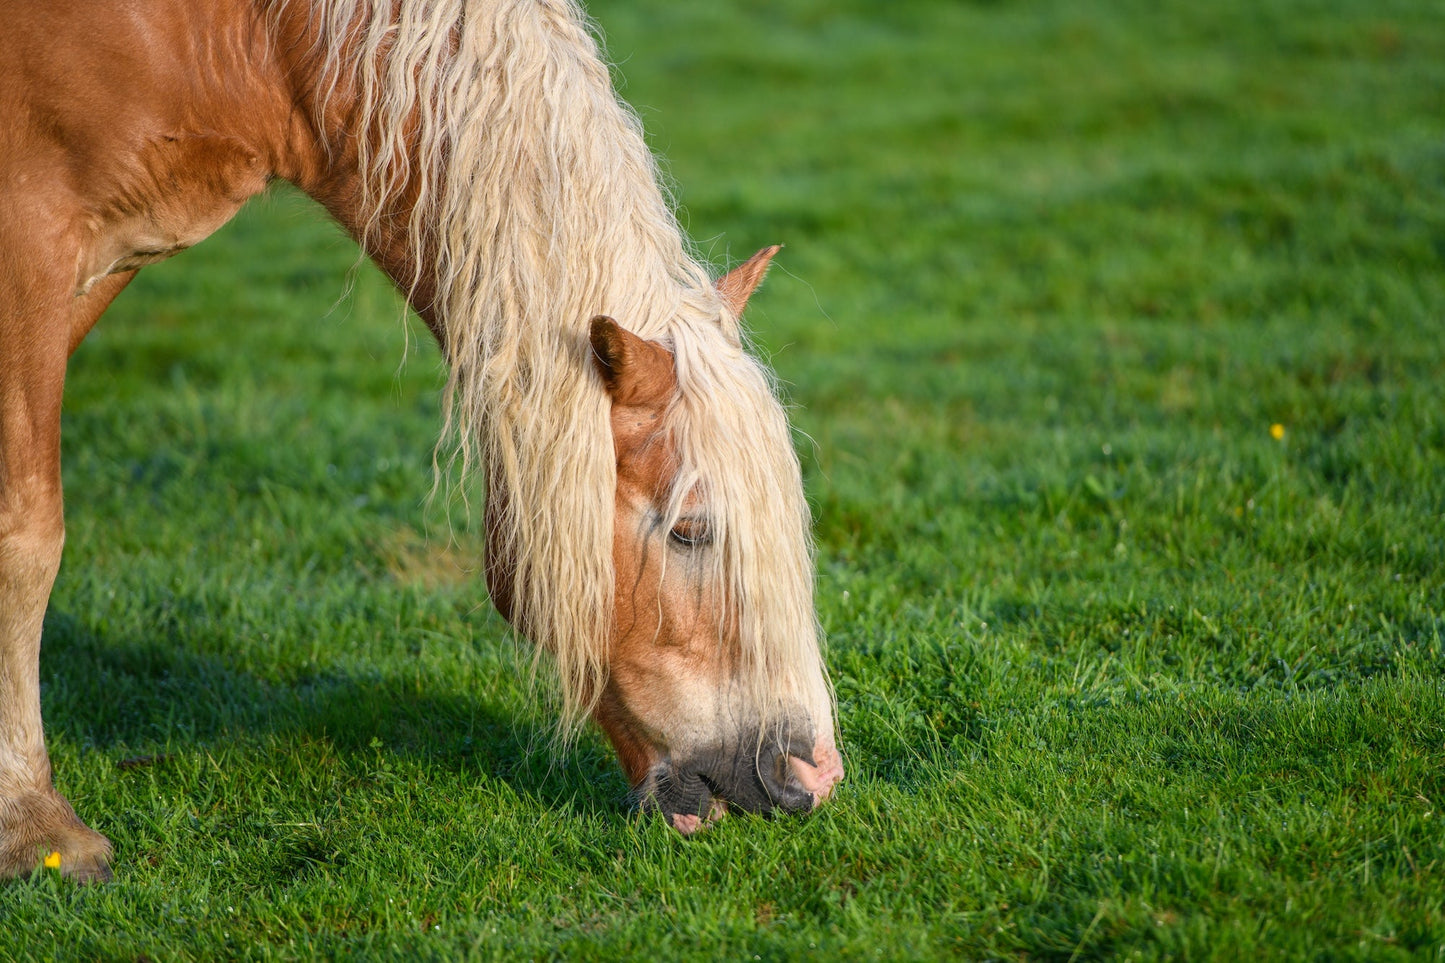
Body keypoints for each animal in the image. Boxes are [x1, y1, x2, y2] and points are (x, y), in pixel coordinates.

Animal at [0, 0, 843, 879]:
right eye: (689, 531)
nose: (814, 776)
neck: (249, 42)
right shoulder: (30, 248)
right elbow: (27, 536)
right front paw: (34, 825)